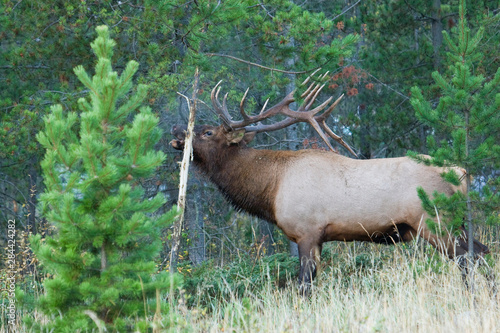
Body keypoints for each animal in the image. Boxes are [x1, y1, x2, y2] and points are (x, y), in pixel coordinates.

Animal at [170, 74, 490, 292]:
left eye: (208, 132)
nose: (175, 128)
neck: (270, 189)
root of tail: (462, 172)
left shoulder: (307, 232)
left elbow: (303, 286)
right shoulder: (318, 238)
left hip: (436, 222)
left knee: (469, 258)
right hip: (454, 223)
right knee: (482, 251)